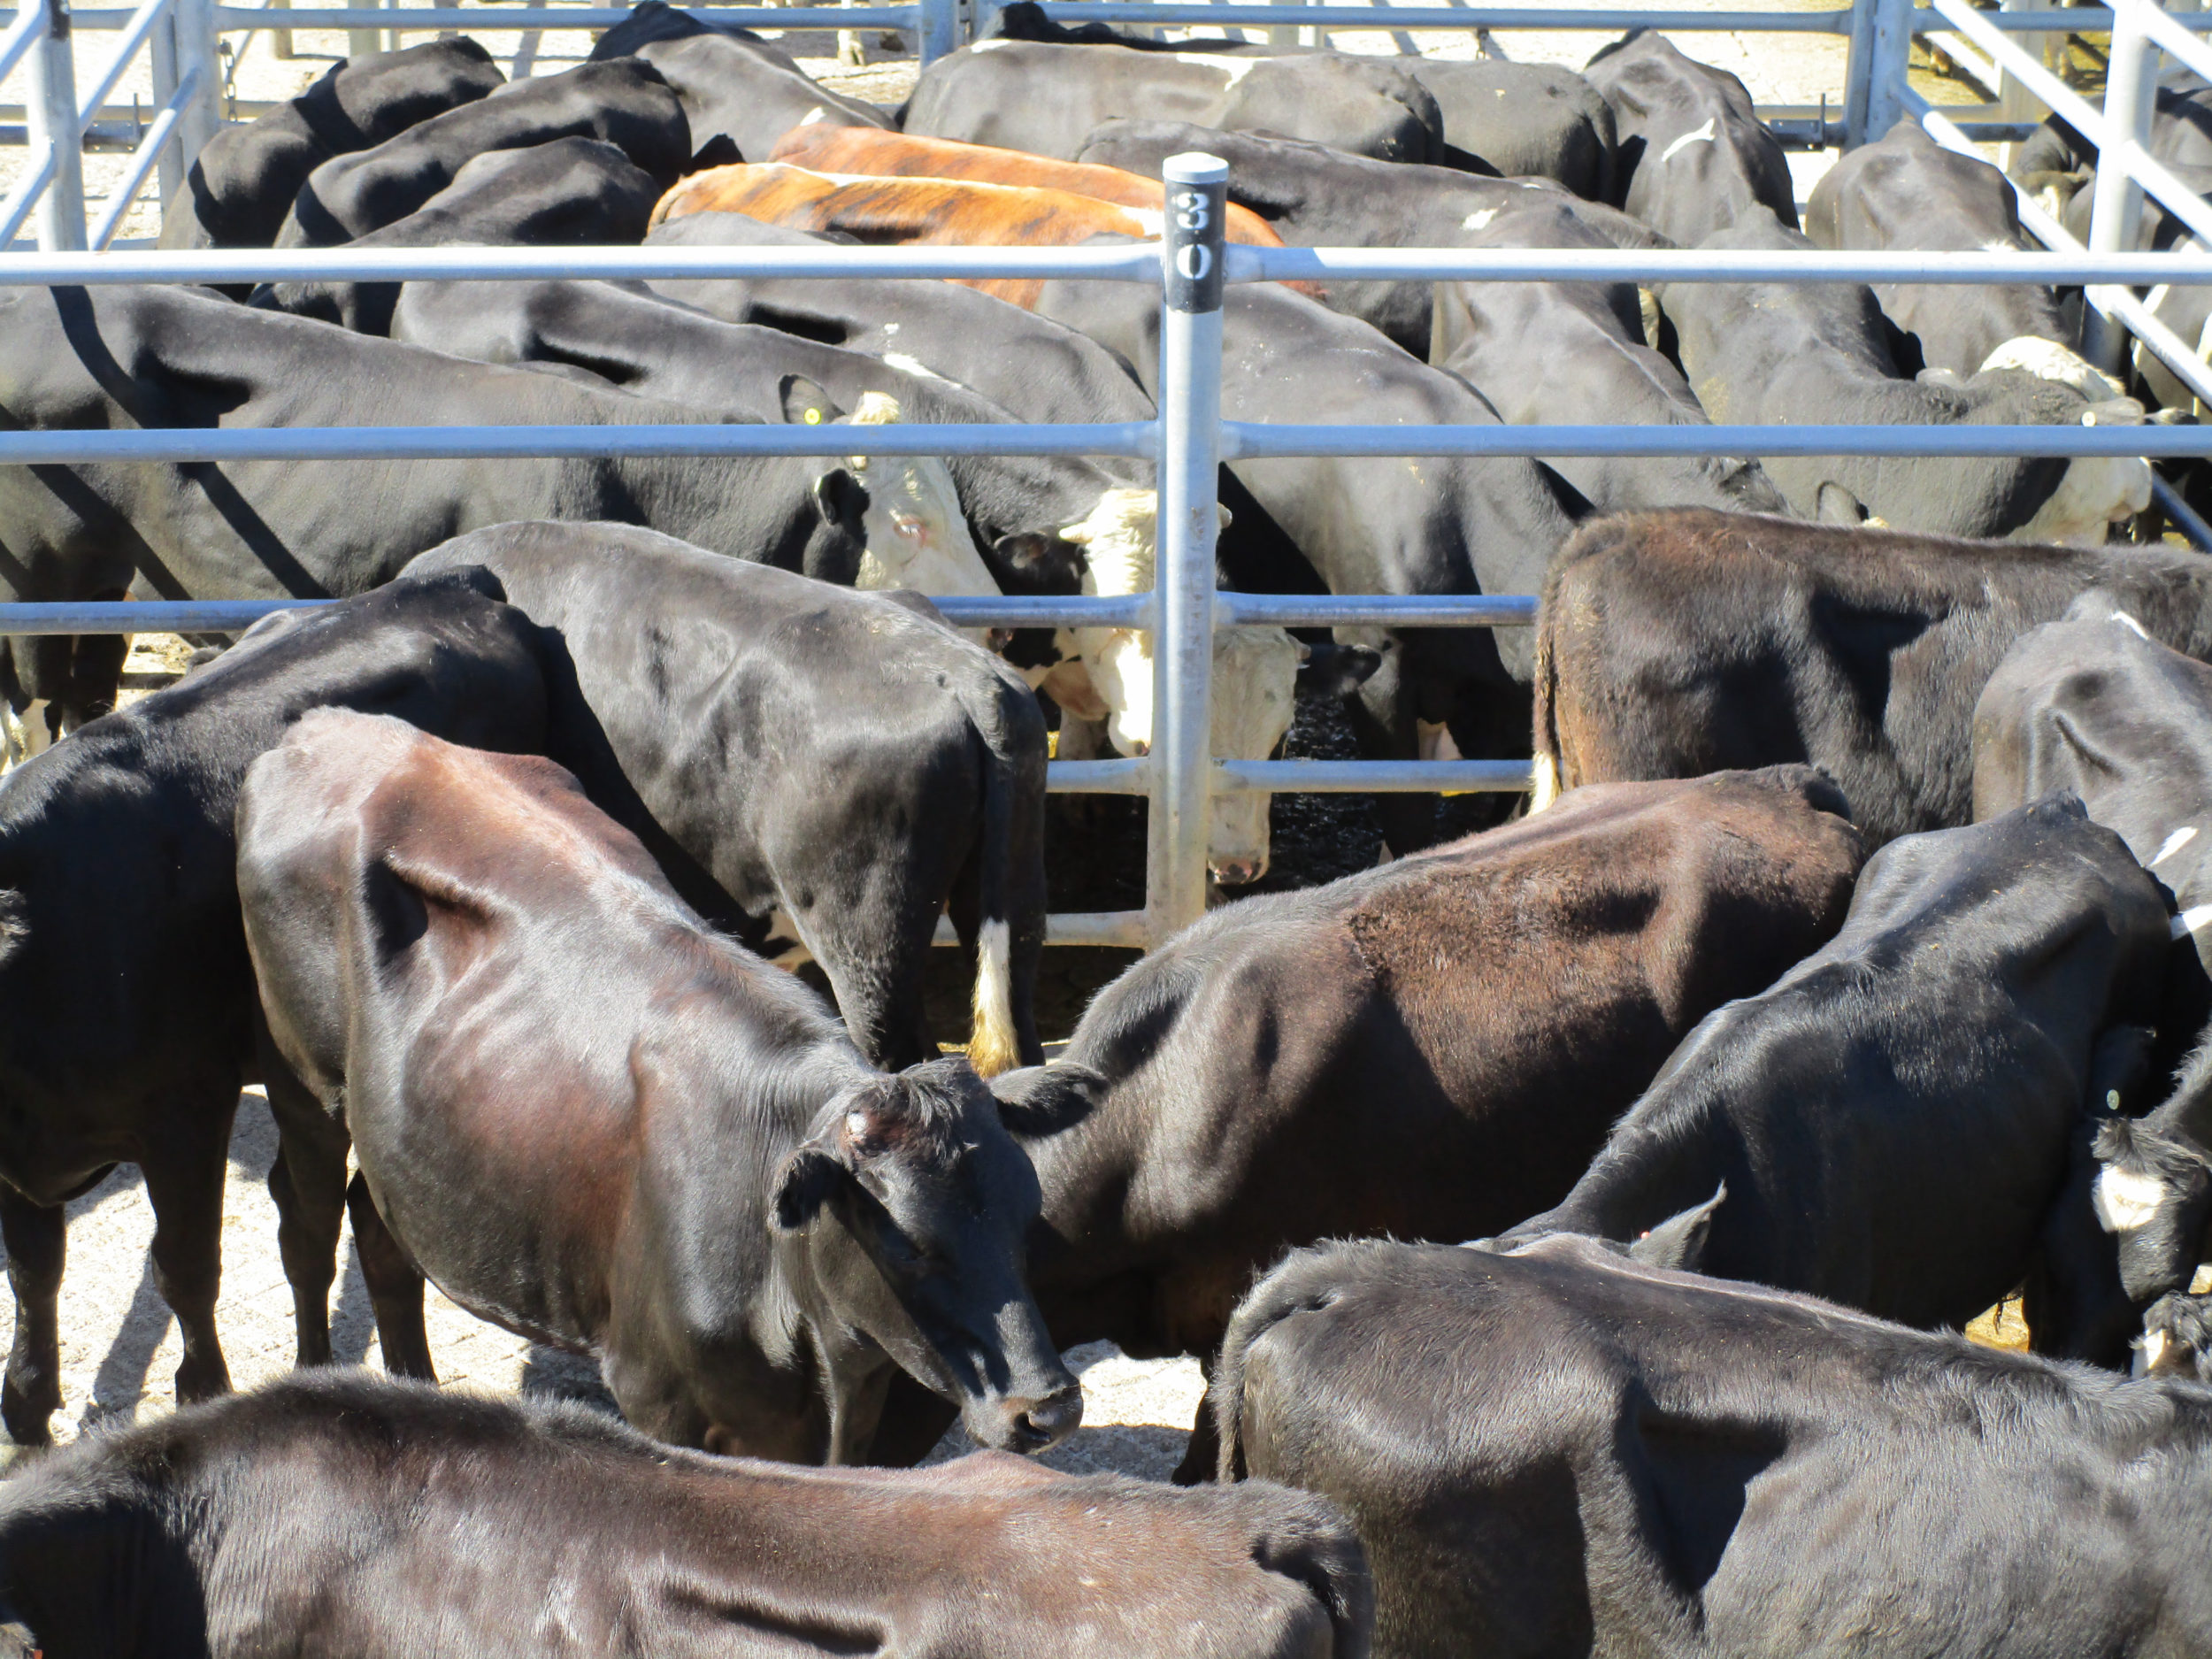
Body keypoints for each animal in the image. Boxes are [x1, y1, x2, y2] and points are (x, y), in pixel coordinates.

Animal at [0, 572, 549, 1447]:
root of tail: (440, 584)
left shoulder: (186, 1110)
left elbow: (184, 1267)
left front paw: (202, 1391)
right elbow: (33, 1268)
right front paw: (26, 1401)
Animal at [239, 709, 1074, 1461]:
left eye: (1026, 1221)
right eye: (912, 1248)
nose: (1051, 1407)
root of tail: (320, 729)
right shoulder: (663, 1400)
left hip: (409, 1145)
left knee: (380, 1229)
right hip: (302, 1085)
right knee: (309, 1222)